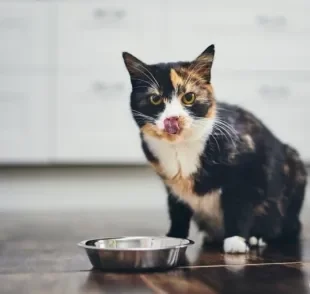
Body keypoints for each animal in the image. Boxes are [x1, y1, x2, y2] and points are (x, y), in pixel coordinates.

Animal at [121, 44, 308, 254]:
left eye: (189, 97)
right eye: (155, 99)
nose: (173, 118)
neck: (181, 147)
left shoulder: (247, 167)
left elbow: (239, 203)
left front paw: (235, 240)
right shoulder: (172, 185)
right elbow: (177, 209)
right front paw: (174, 236)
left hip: (294, 167)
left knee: (286, 226)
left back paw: (257, 237)